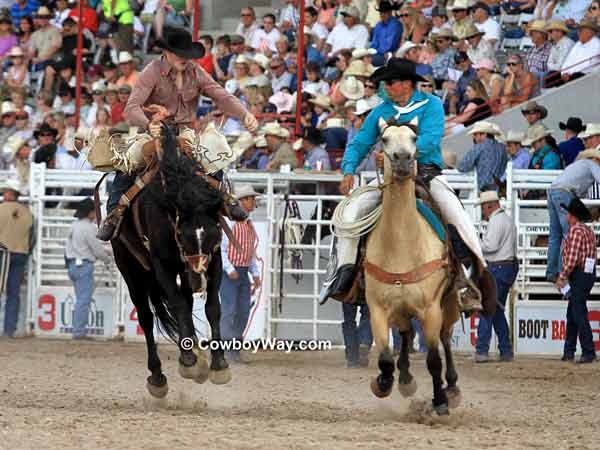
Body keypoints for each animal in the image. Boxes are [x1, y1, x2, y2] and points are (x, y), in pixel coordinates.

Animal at [110, 124, 230, 398]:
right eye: (182, 236)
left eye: (214, 233)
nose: (199, 277)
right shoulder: (162, 265)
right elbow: (178, 305)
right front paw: (189, 361)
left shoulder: (215, 260)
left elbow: (212, 308)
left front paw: (218, 364)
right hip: (131, 270)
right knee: (146, 316)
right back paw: (158, 377)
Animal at [366, 118, 460, 416]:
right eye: (384, 139)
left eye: (414, 138)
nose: (403, 159)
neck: (402, 243)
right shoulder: (377, 309)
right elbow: (385, 357)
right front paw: (383, 383)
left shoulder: (431, 309)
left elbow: (433, 360)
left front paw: (440, 402)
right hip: (402, 310)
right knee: (406, 334)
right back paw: (405, 379)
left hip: (448, 305)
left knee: (445, 339)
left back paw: (452, 388)